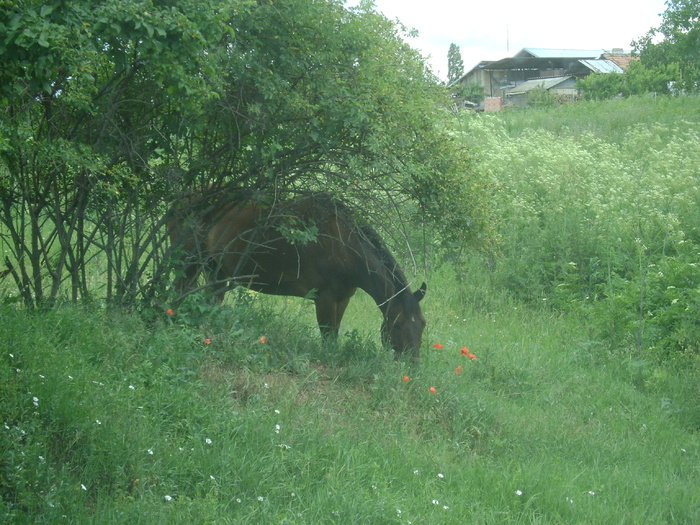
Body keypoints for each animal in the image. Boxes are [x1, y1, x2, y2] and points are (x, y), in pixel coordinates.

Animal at [170, 192, 426, 360]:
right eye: (397, 324)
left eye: (423, 324)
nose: (411, 365)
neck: (344, 248)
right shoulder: (324, 299)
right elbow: (328, 337)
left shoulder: (343, 298)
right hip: (187, 262)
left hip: (215, 269)